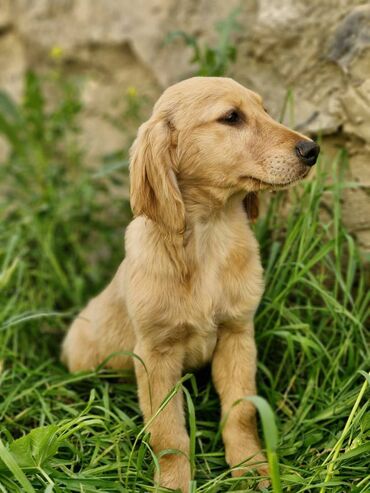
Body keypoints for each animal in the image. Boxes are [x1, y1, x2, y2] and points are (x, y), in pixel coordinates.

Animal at [60, 76, 318, 488]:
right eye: (231, 117)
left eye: (264, 110)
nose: (313, 149)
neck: (209, 235)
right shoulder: (156, 355)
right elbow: (168, 431)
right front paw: (173, 483)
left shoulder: (237, 336)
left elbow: (241, 411)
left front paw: (250, 467)